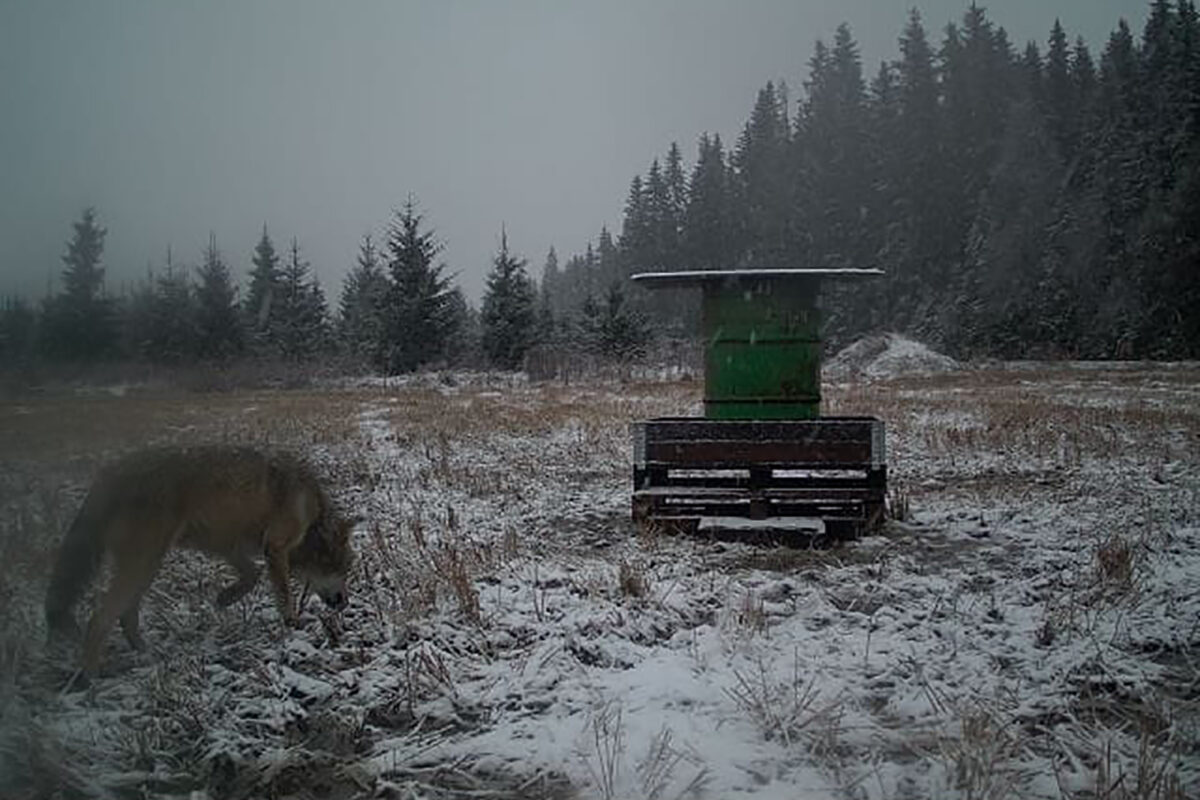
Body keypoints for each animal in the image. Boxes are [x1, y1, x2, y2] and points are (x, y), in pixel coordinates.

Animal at [46, 448, 355, 671]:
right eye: (345, 569)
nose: (344, 603)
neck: (312, 517)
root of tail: (110, 475)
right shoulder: (274, 548)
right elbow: (282, 594)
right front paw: (292, 625)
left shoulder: (226, 545)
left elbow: (251, 576)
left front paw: (226, 598)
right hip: (142, 564)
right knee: (99, 618)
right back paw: (88, 680)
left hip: (147, 566)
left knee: (126, 615)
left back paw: (147, 655)